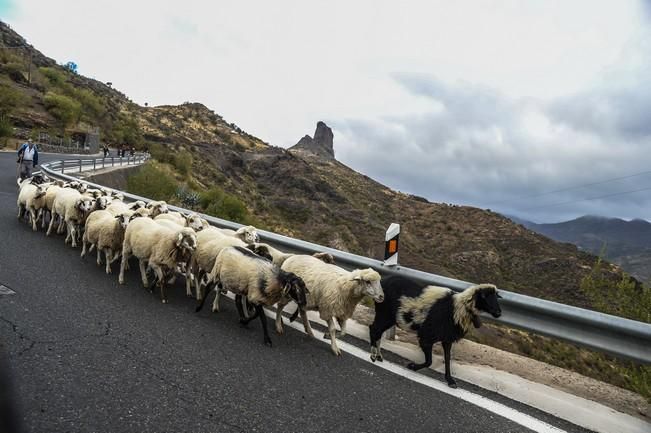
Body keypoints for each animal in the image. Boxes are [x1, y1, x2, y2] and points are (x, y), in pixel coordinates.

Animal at [370, 276, 502, 386]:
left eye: (496, 297)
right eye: (484, 296)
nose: (499, 313)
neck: (457, 308)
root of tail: (383, 280)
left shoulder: (447, 339)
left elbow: (447, 359)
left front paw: (450, 380)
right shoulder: (426, 336)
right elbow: (429, 361)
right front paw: (412, 366)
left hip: (388, 318)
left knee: (376, 331)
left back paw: (377, 355)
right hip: (384, 314)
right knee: (374, 329)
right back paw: (373, 355)